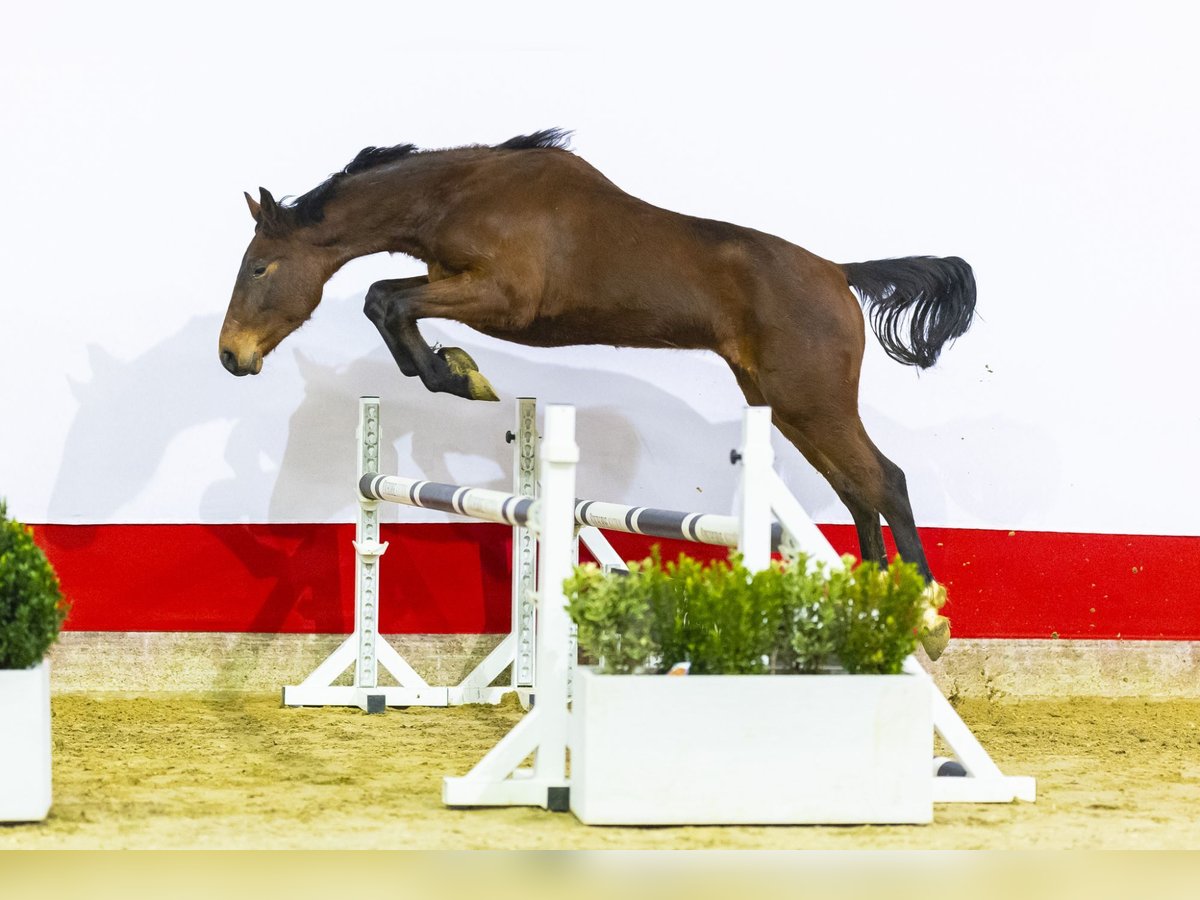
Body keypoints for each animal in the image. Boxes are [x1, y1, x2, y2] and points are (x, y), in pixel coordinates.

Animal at [220, 128, 974, 662]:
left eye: (259, 267)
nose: (232, 356)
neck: (461, 195)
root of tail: (841, 274)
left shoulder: (503, 298)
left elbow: (385, 300)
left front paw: (456, 374)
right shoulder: (455, 285)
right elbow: (389, 302)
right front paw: (455, 371)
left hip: (810, 401)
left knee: (885, 482)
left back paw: (927, 618)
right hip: (788, 406)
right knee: (858, 492)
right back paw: (881, 617)